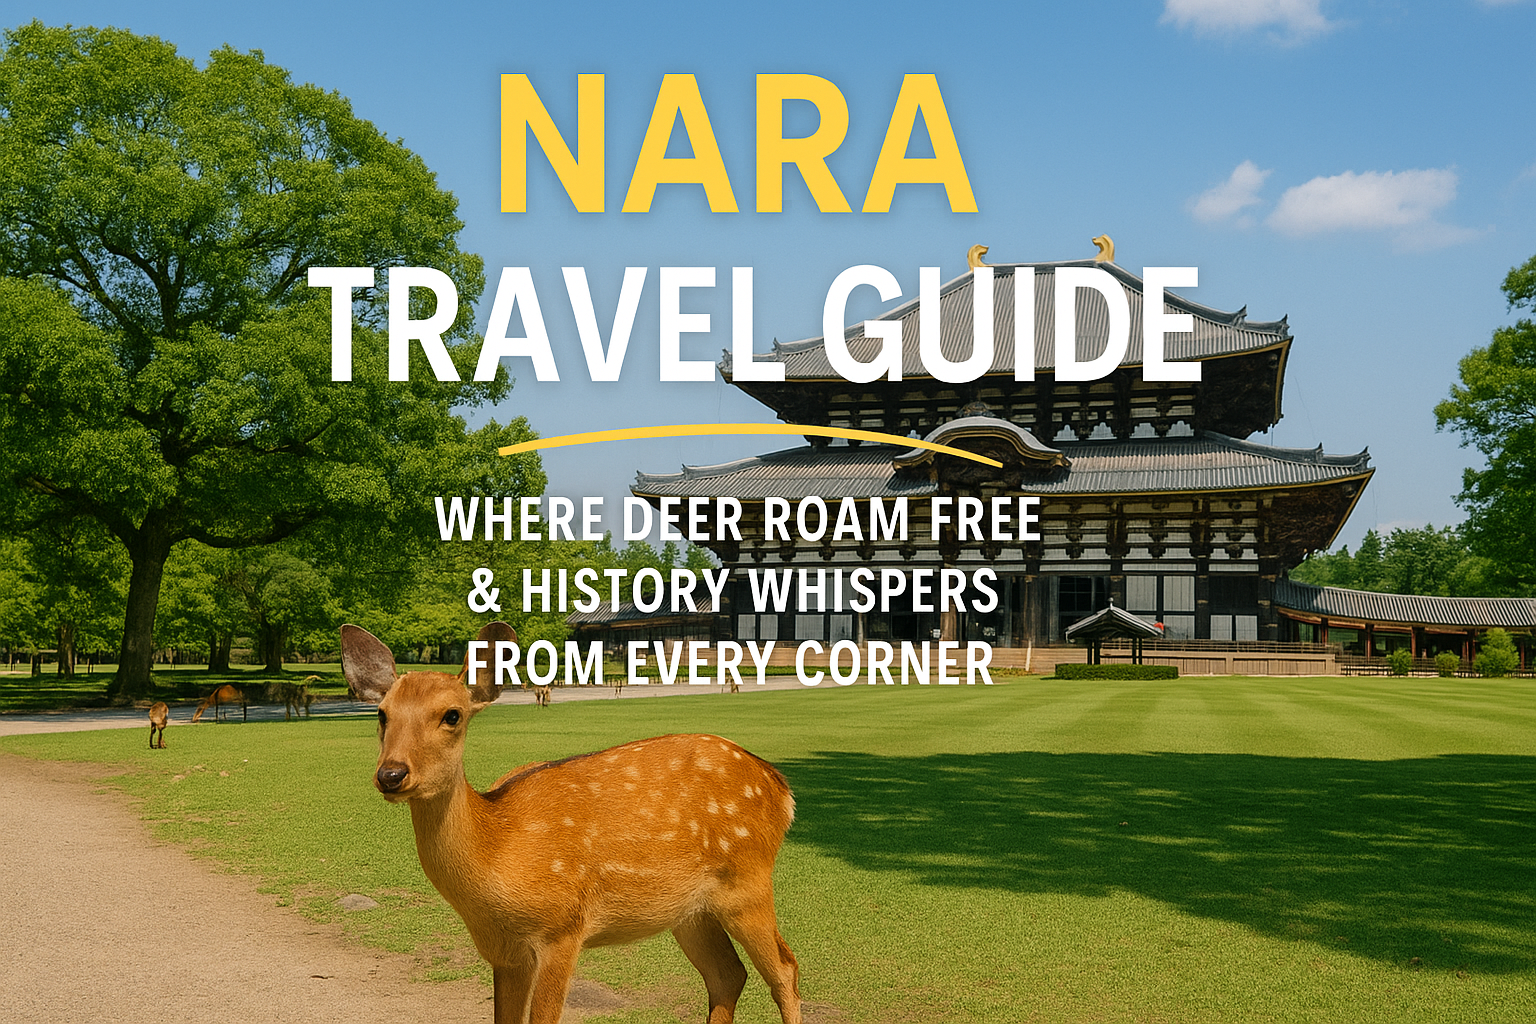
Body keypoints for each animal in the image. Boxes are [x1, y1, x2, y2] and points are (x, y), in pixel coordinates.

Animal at [341, 621, 802, 1024]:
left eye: (452, 714)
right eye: (381, 714)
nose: (391, 774)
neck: (497, 848)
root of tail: (781, 787)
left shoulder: (562, 926)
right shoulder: (503, 952)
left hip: (747, 881)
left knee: (786, 969)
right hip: (689, 911)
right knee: (728, 975)